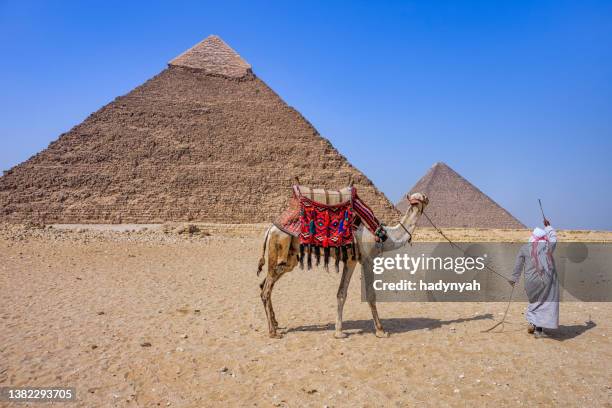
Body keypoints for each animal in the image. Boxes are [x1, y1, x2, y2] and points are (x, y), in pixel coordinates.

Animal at [256, 191, 428, 338]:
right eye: (422, 198)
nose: (427, 198)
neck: (385, 236)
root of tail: (269, 229)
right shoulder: (367, 259)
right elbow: (371, 295)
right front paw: (380, 330)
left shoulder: (351, 260)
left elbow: (341, 294)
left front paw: (338, 331)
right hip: (278, 246)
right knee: (266, 290)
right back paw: (272, 332)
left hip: (289, 258)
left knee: (265, 284)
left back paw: (276, 323)